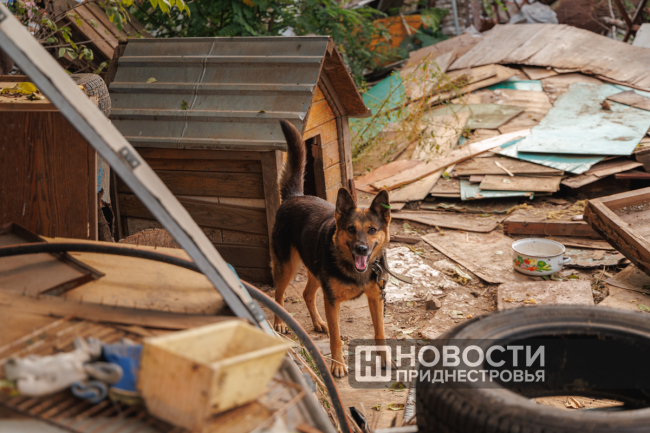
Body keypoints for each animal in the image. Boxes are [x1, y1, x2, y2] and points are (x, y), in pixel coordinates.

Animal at [271, 119, 391, 378]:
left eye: (372, 230)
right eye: (351, 229)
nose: (361, 249)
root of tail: (294, 197)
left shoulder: (376, 297)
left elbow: (380, 331)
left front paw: (385, 360)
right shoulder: (332, 301)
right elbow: (336, 338)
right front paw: (338, 365)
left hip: (315, 272)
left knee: (307, 294)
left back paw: (318, 323)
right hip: (287, 267)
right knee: (278, 294)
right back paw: (279, 323)